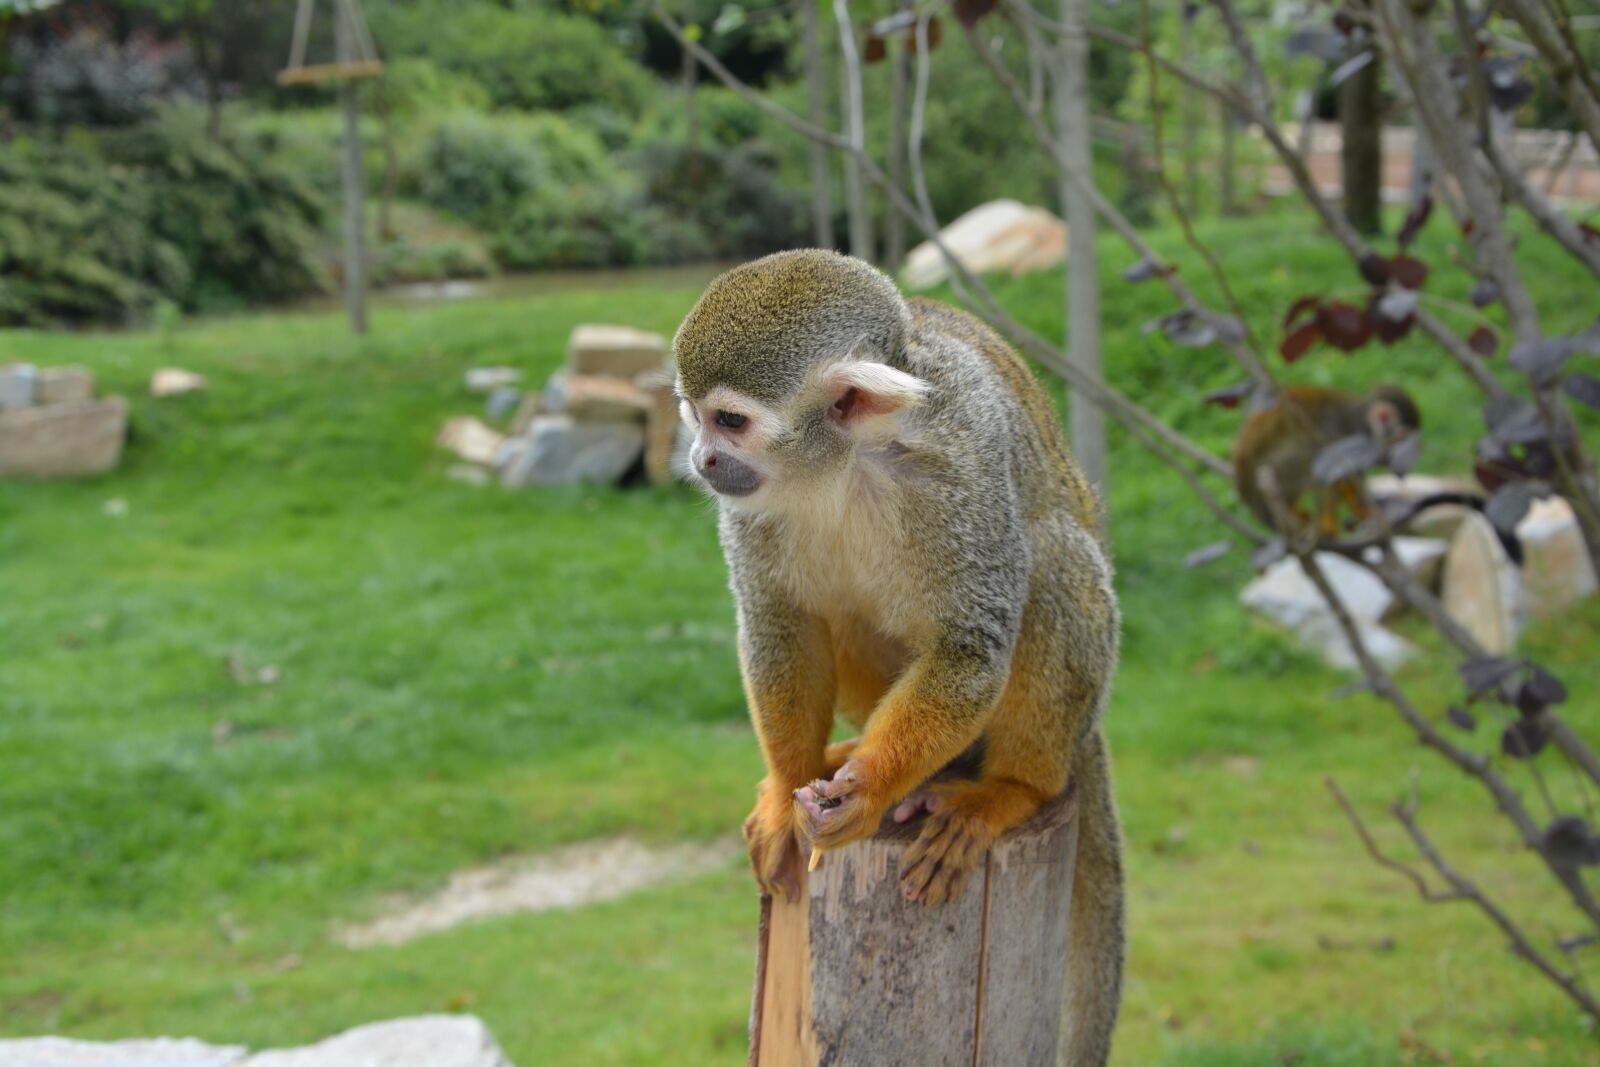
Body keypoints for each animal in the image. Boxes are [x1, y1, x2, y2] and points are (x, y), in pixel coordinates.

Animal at [673, 248, 1123, 1066]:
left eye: (731, 420)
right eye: (694, 415)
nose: (701, 459)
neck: (843, 463)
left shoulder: (961, 468)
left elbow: (971, 645)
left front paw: (870, 794)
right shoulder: (752, 508)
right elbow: (781, 626)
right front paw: (788, 791)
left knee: (1052, 559)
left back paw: (1007, 789)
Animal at [1232, 384, 1420, 538]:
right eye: (1400, 438)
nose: (1389, 460)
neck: (1367, 427)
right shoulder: (1353, 436)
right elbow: (1343, 474)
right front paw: (1367, 511)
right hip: (1282, 462)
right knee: (1316, 460)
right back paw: (1326, 527)